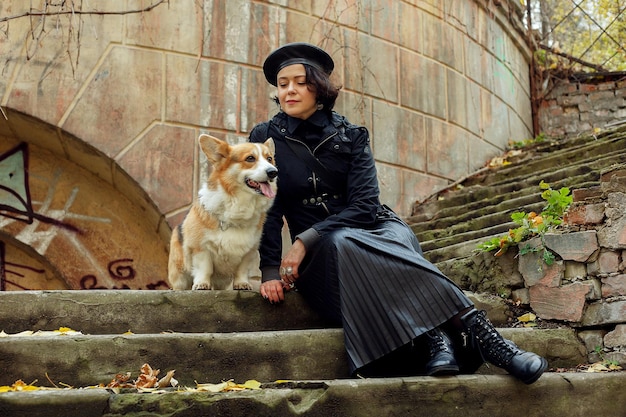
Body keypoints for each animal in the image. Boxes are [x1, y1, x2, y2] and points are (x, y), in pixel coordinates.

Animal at [167, 133, 276, 290]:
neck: (238, 204)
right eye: (250, 158)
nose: (273, 172)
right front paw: (202, 284)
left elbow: (242, 270)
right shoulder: (201, 248)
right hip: (179, 274)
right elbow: (205, 268)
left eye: (269, 159)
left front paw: (242, 284)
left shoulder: (248, 251)